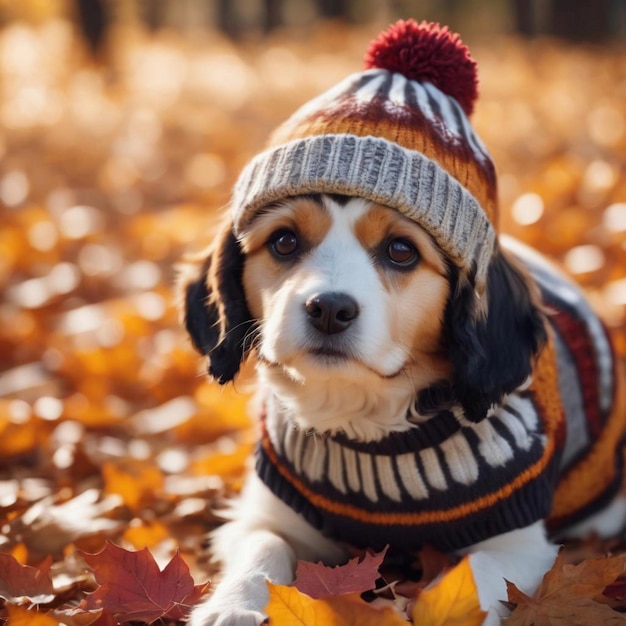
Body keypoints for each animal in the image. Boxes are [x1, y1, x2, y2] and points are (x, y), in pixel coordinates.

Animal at [178, 19, 624, 624]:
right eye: (284, 241)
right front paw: (232, 607)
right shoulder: (267, 513)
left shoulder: (518, 543)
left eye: (401, 251)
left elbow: (474, 576)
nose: (329, 308)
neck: (366, 416)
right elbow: (262, 551)